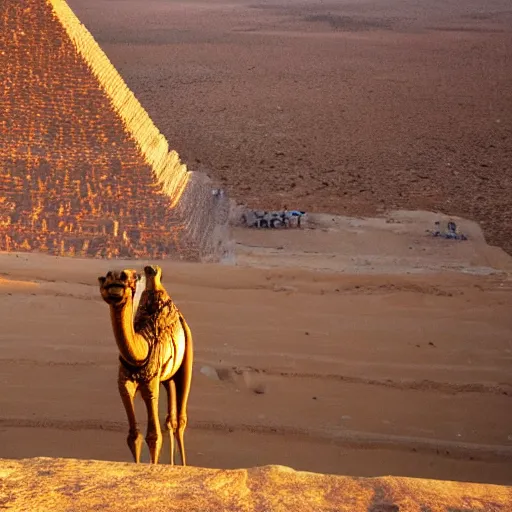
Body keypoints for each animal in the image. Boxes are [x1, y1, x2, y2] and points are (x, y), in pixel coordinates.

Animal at [97, 266, 193, 466]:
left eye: (129, 278)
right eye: (107, 278)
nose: (116, 278)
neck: (141, 350)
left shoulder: (150, 383)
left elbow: (154, 436)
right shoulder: (124, 383)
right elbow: (133, 437)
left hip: (187, 354)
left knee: (181, 420)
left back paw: (183, 466)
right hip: (167, 378)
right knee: (170, 419)